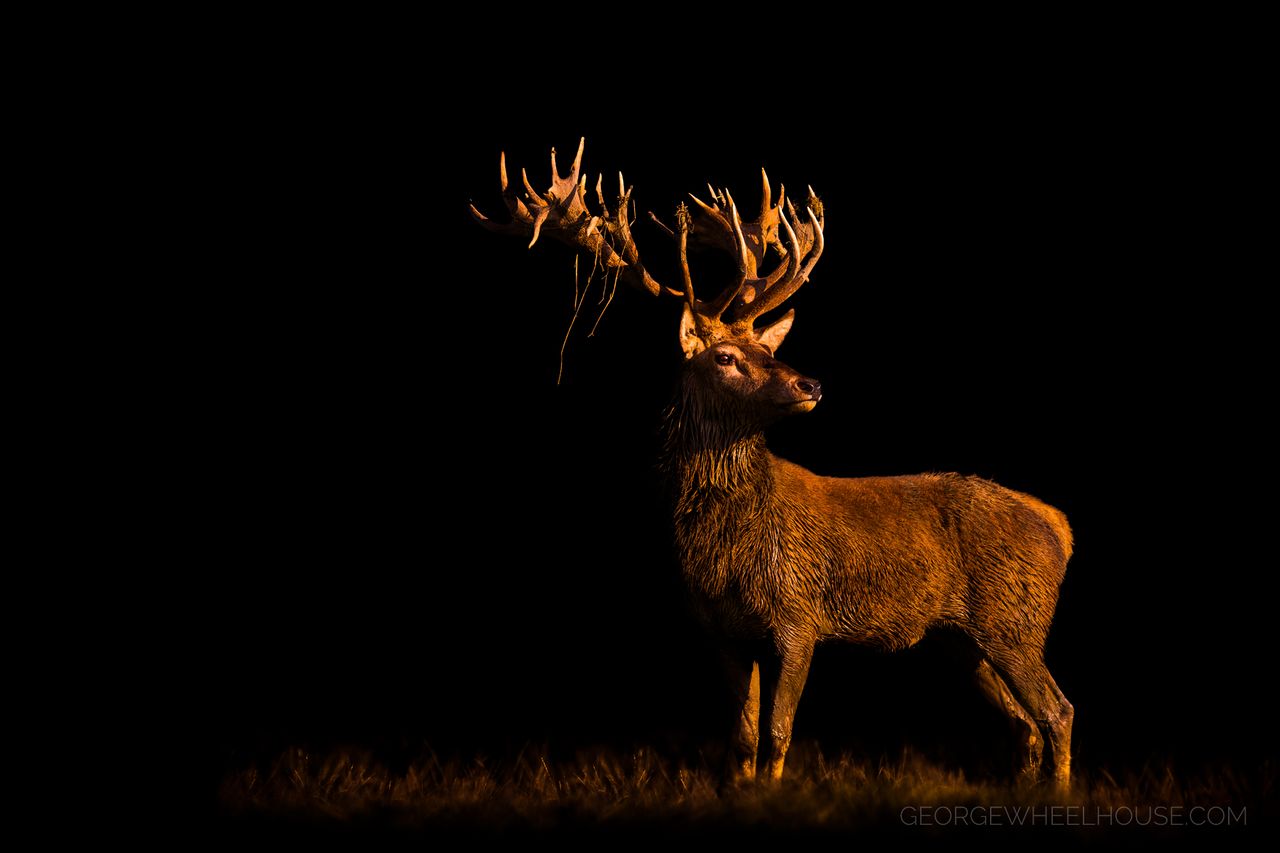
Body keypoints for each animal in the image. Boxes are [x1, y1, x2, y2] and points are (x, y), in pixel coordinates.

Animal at [468, 139, 1070, 783]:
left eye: (767, 346)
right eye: (727, 356)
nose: (812, 383)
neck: (727, 548)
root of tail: (1060, 527)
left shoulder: (798, 616)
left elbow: (778, 734)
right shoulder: (720, 630)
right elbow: (741, 736)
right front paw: (742, 790)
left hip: (1014, 621)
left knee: (1056, 711)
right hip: (965, 639)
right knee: (1025, 724)